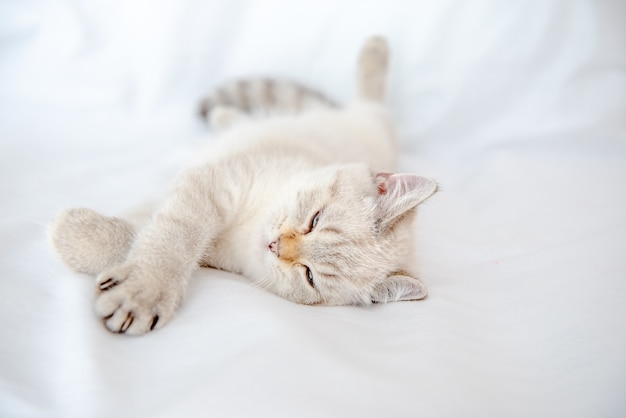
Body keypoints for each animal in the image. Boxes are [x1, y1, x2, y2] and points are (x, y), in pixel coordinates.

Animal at [48, 36, 436, 336]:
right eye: (315, 219)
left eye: (309, 275)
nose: (278, 245)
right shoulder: (218, 179)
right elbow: (175, 233)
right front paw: (143, 285)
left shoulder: (216, 250)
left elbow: (147, 233)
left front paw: (75, 235)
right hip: (346, 118)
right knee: (366, 97)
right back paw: (375, 49)